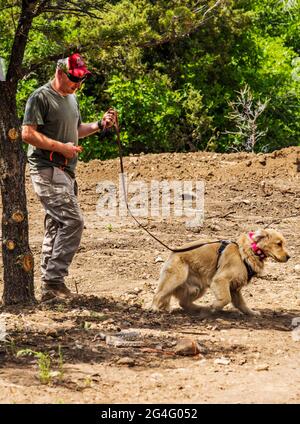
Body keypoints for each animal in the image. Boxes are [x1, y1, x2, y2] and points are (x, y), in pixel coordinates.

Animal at [152, 230, 290, 316]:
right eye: (278, 244)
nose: (289, 257)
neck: (248, 251)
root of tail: (173, 253)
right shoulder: (220, 280)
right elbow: (225, 298)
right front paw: (215, 306)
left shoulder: (235, 288)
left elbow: (242, 304)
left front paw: (251, 313)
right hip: (176, 278)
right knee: (158, 295)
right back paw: (155, 309)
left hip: (198, 288)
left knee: (183, 303)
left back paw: (199, 308)